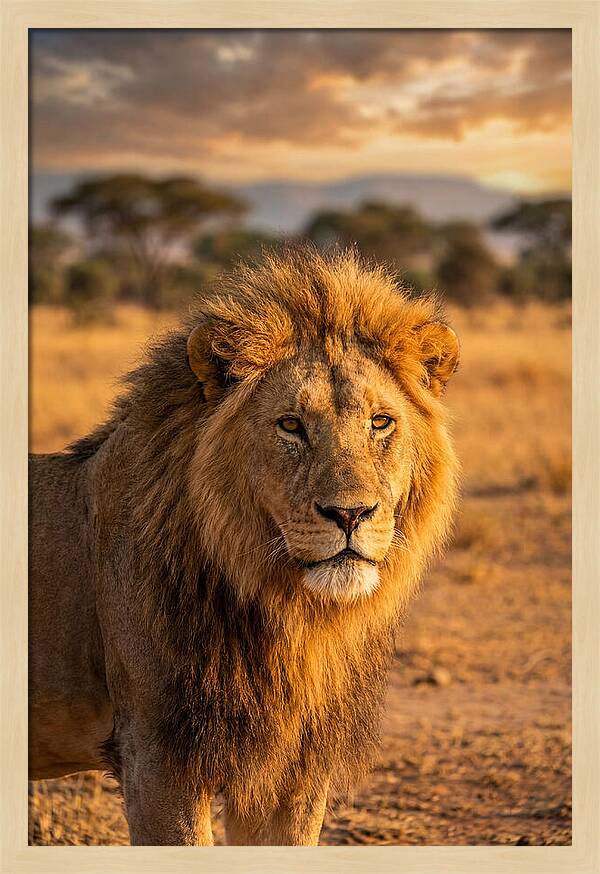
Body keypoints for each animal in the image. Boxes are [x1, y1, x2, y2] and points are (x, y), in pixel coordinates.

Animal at [29, 247, 460, 845]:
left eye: (381, 422)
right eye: (291, 425)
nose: (350, 514)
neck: (289, 615)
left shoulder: (293, 771)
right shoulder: (157, 758)